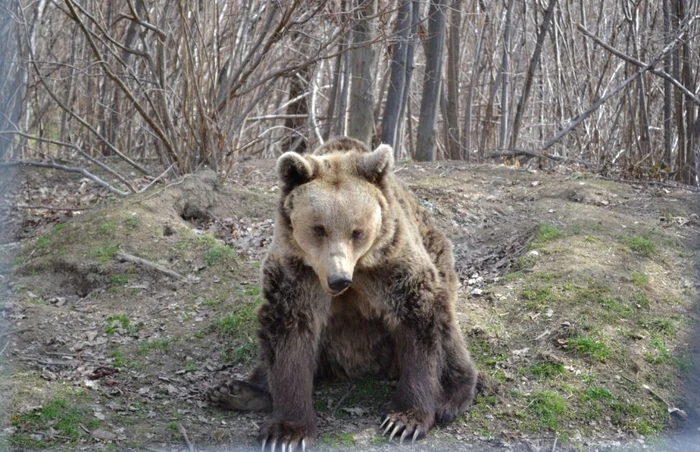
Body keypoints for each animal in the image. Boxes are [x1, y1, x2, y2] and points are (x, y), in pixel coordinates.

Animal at [208, 136, 478, 450]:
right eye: (319, 229)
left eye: (357, 231)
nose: (339, 280)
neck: (357, 270)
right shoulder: (298, 275)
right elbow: (289, 339)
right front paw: (286, 431)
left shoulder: (392, 269)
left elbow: (418, 323)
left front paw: (403, 421)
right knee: (267, 359)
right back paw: (236, 391)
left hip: (440, 268)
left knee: (448, 335)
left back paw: (449, 399)